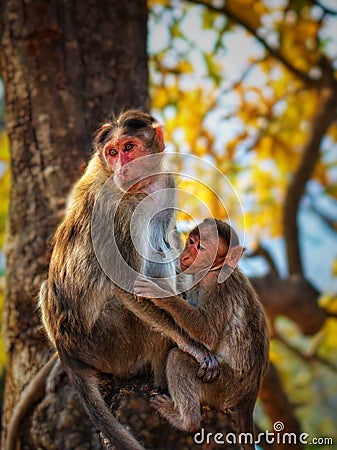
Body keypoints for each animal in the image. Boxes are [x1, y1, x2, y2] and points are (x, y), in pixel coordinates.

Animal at [7, 110, 220, 450]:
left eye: (129, 147)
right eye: (113, 152)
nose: (122, 167)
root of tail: (67, 347)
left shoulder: (165, 182)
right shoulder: (119, 209)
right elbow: (126, 286)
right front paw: (194, 346)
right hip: (113, 341)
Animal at [134, 218, 268, 446]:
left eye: (201, 247)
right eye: (191, 241)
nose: (187, 255)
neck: (214, 268)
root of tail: (250, 393)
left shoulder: (215, 286)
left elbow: (209, 334)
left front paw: (160, 292)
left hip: (223, 387)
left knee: (178, 359)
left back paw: (187, 422)